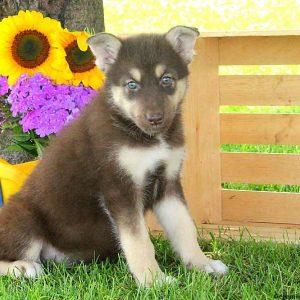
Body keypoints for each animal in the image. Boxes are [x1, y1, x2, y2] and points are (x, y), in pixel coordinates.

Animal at [0, 27, 227, 288]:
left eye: (166, 79)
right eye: (132, 84)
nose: (155, 119)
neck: (145, 137)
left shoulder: (168, 182)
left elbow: (185, 227)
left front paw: (202, 264)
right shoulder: (119, 188)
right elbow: (139, 241)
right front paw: (153, 280)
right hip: (25, 218)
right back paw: (23, 267)